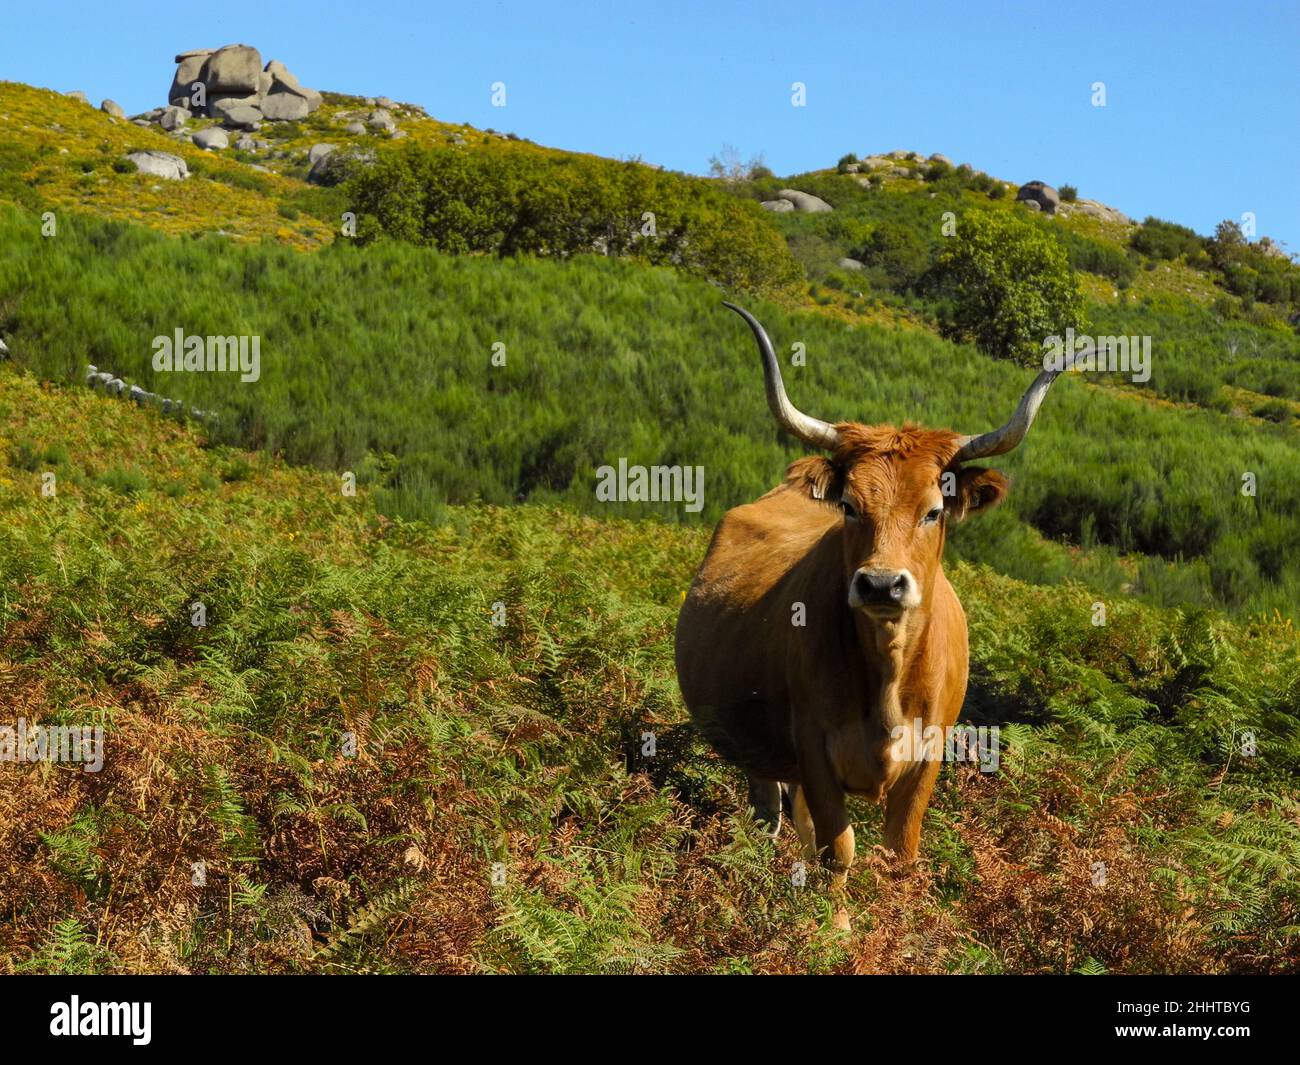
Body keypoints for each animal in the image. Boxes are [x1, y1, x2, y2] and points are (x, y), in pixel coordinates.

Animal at [675, 303, 1062, 911]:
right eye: (852, 507)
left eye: (933, 511)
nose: (881, 584)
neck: (888, 670)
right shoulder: (813, 748)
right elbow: (839, 849)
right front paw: (832, 926)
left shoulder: (927, 759)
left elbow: (898, 853)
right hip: (755, 747)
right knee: (771, 812)